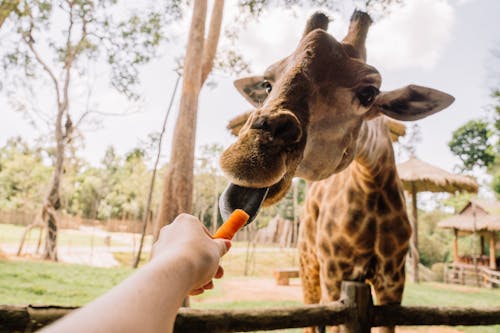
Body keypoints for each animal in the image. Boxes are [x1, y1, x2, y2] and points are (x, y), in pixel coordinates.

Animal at [219, 10, 454, 332]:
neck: (372, 185)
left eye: (369, 93)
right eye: (267, 84)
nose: (249, 158)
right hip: (308, 264)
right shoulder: (334, 273)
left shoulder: (393, 281)